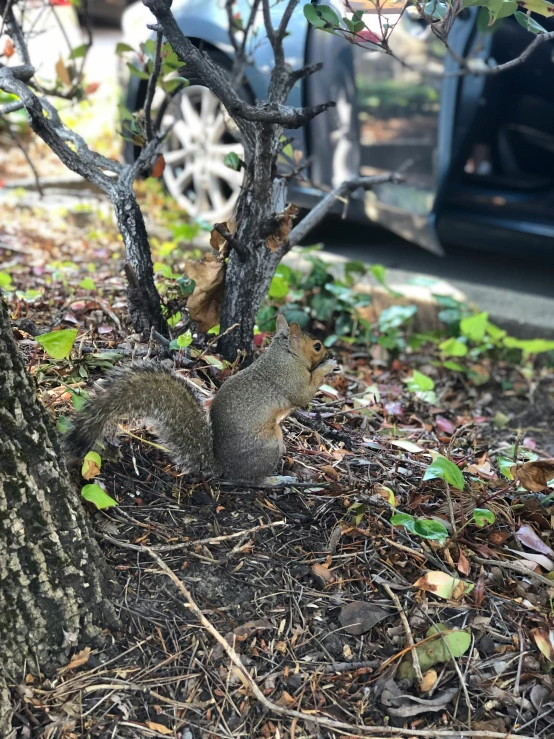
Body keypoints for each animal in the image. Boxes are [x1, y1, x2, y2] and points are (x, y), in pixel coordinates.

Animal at [62, 316, 334, 486]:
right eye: (317, 346)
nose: (330, 352)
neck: (284, 354)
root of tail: (223, 466)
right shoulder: (290, 378)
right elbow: (304, 394)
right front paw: (327, 367)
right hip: (267, 447)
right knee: (249, 481)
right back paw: (276, 480)